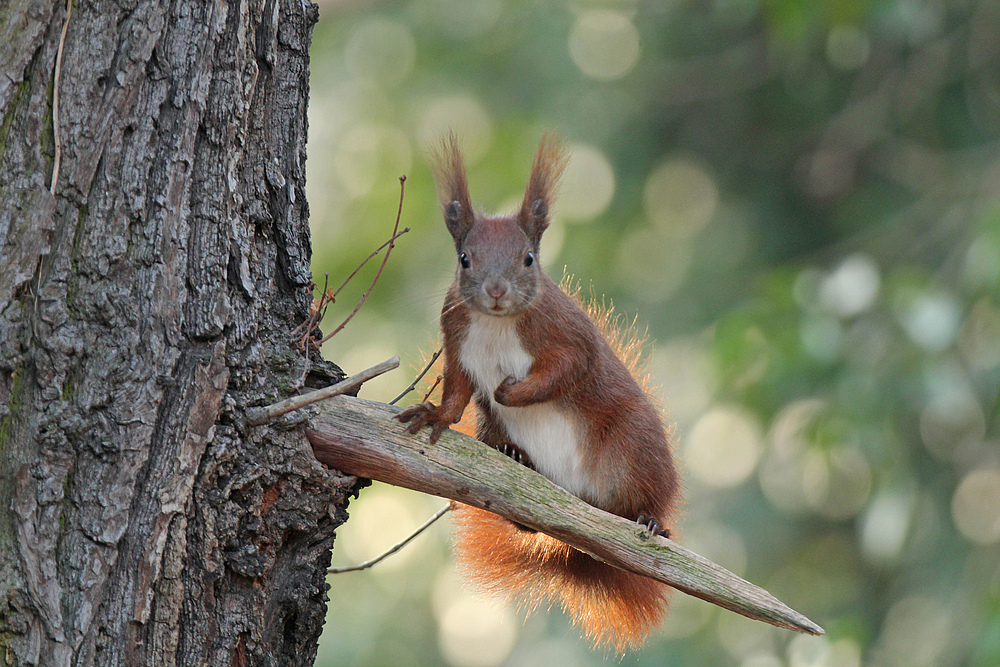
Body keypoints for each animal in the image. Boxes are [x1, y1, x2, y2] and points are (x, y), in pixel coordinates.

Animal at [394, 136, 684, 652]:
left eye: (528, 258)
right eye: (465, 258)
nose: (495, 290)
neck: (496, 321)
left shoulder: (567, 336)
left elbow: (565, 372)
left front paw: (510, 390)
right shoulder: (457, 340)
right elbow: (458, 392)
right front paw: (436, 415)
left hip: (635, 448)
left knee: (645, 497)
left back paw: (650, 520)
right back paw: (516, 457)